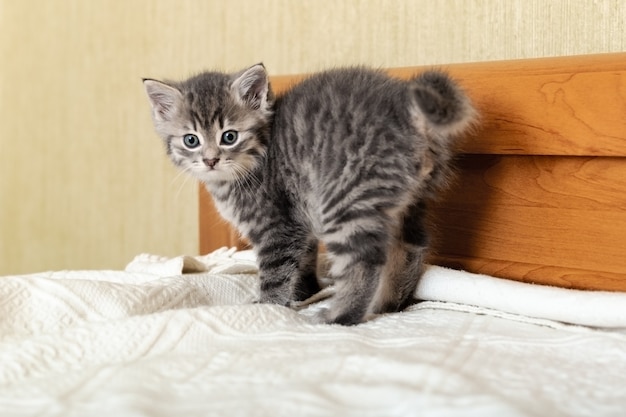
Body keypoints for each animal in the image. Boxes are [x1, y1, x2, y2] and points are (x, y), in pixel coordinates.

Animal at [144, 63, 476, 324]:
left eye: (229, 137)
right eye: (191, 140)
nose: (211, 160)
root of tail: (405, 106)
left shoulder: (278, 226)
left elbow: (275, 272)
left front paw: (267, 306)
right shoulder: (300, 217)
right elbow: (303, 259)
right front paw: (304, 292)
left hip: (346, 195)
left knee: (364, 258)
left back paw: (341, 315)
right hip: (408, 200)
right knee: (411, 244)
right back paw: (387, 304)